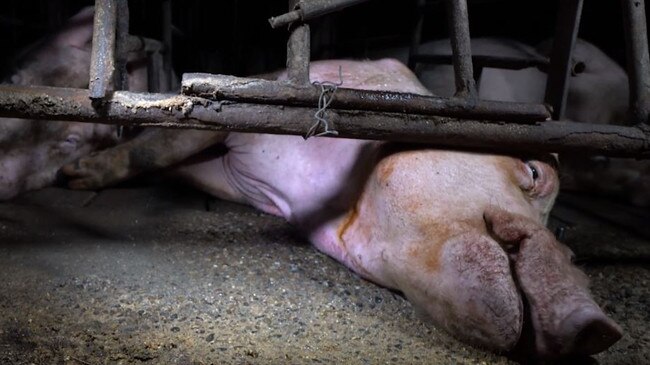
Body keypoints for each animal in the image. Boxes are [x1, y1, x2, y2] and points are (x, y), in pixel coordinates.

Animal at [63, 58, 620, 356]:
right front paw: (72, 178)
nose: (598, 327)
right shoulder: (235, 107)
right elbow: (156, 146)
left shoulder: (233, 178)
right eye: (535, 172)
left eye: (567, 239)